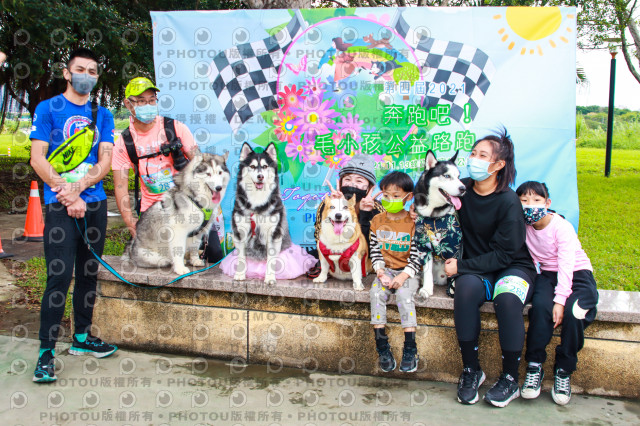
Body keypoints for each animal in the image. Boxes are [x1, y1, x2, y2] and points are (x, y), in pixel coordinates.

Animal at [231, 142, 291, 284]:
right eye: (252, 166)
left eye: (264, 166)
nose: (260, 176)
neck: (257, 203)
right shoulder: (240, 232)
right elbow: (241, 257)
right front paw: (240, 274)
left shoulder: (273, 233)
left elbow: (271, 259)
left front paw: (269, 277)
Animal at [413, 150, 466, 298]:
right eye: (447, 176)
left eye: (459, 176)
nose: (463, 188)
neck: (433, 216)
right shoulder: (423, 245)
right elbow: (427, 269)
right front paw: (426, 288)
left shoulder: (455, 246)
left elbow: (454, 268)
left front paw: (453, 287)